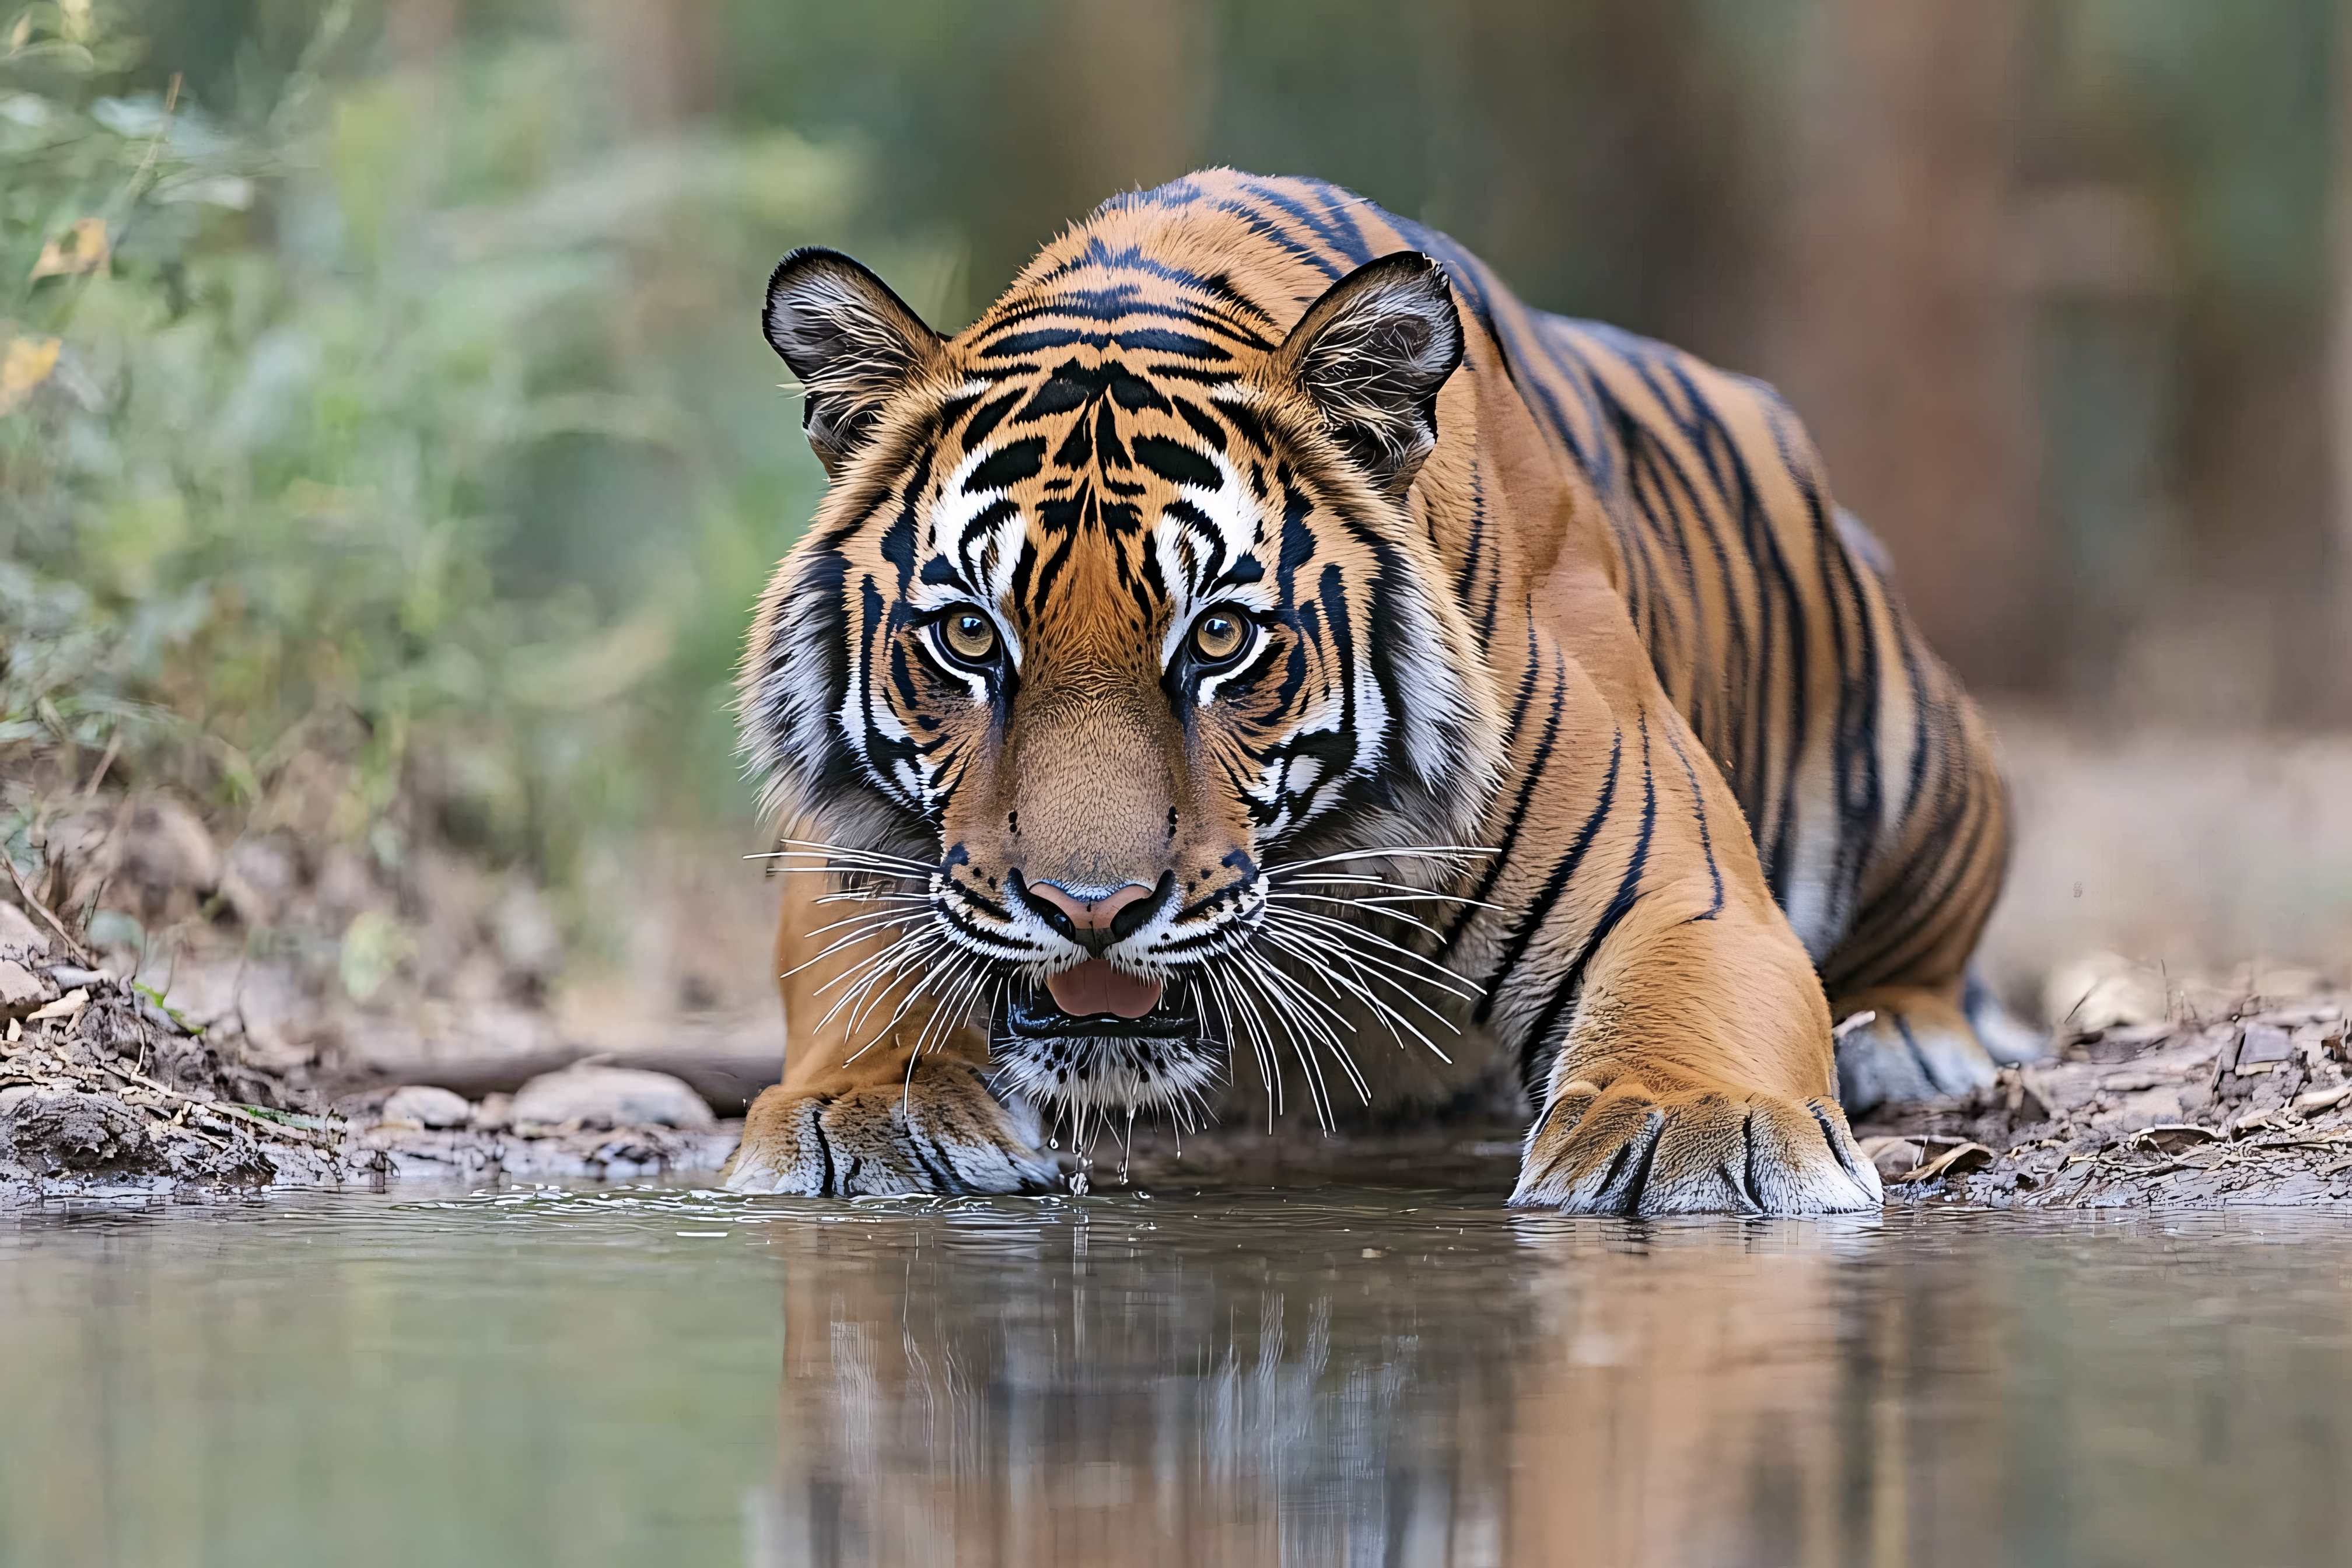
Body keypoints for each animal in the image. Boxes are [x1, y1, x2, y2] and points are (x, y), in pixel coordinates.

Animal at [720, 168, 2032, 1214]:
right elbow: (856, 984)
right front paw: (870, 1110)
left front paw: (1693, 1129)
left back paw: (1909, 1041)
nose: (1091, 911)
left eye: (1221, 636)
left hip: (1916, 762)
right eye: (967, 635)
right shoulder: (850, 850)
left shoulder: (1680, 890)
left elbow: (1690, 1006)